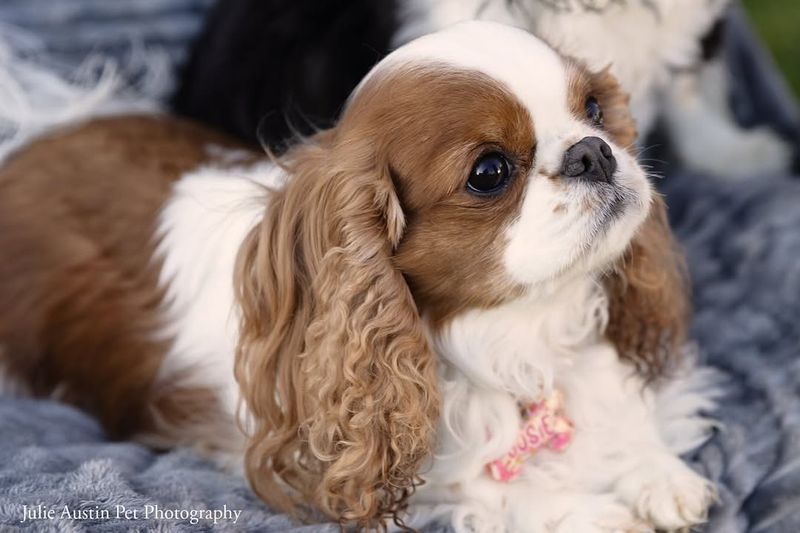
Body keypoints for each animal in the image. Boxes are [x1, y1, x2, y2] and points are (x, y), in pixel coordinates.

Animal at [0, 21, 712, 532]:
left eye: (594, 108)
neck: (515, 330)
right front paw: (594, 513)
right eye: (489, 172)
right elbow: (482, 486)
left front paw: (650, 466)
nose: (594, 151)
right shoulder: (330, 460)